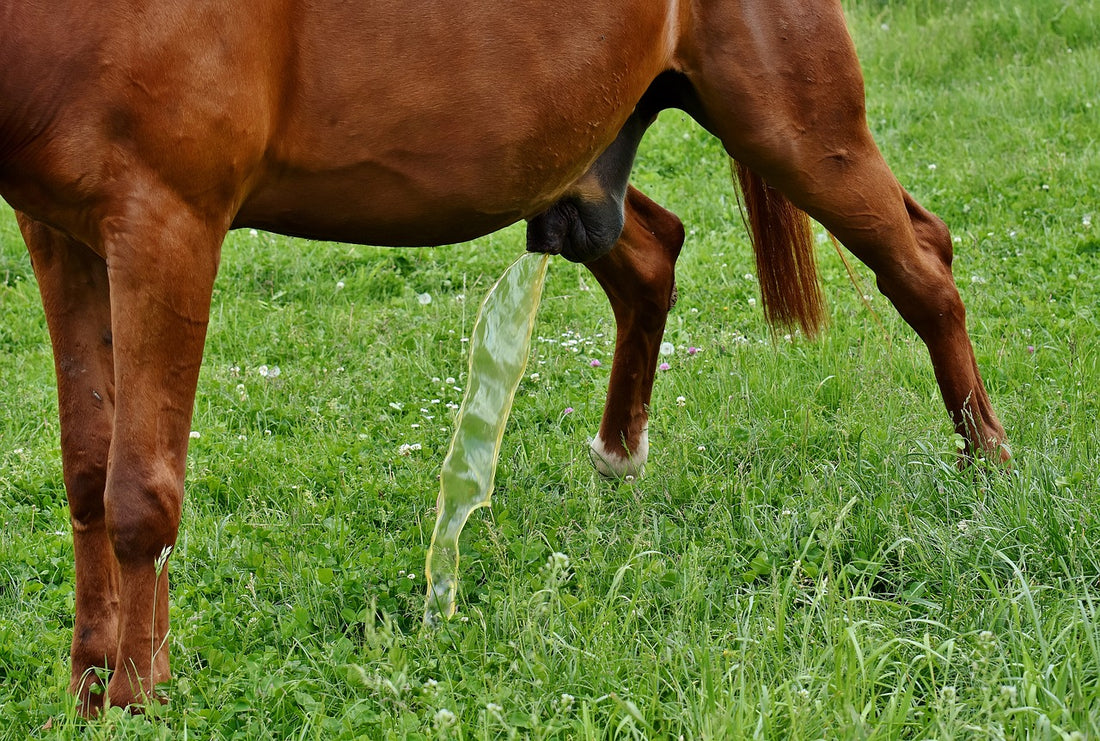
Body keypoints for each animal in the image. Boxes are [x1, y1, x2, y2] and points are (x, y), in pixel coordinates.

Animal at [0, 0, 1008, 713]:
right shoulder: (66, 237)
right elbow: (88, 475)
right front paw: (90, 686)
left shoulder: (168, 225)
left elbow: (140, 490)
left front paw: (137, 697)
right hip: (588, 170)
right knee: (656, 257)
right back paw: (618, 458)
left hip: (796, 123)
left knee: (924, 265)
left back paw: (989, 465)